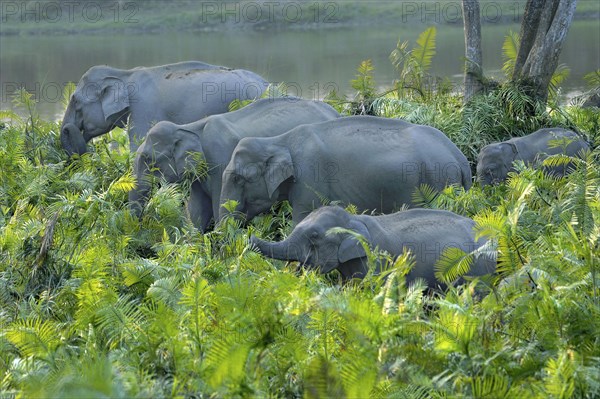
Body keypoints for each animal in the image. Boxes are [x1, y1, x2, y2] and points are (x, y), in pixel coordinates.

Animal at [218, 115, 472, 225]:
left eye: (239, 179)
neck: (278, 140)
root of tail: (459, 157)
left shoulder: (310, 178)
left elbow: (302, 219)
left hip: (439, 181)